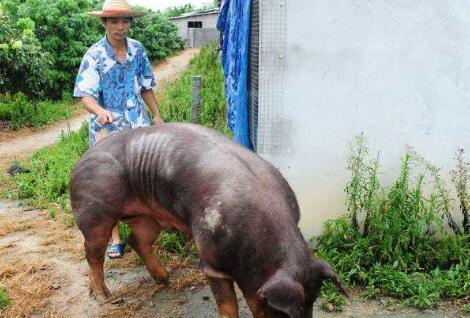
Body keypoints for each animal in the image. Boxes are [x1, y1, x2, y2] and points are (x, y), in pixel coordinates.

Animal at [70, 123, 348, 318]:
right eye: (276, 308)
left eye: (313, 300)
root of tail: (80, 160)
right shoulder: (210, 260)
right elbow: (227, 305)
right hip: (93, 212)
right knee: (92, 253)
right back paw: (104, 297)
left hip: (148, 217)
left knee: (136, 240)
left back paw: (164, 279)